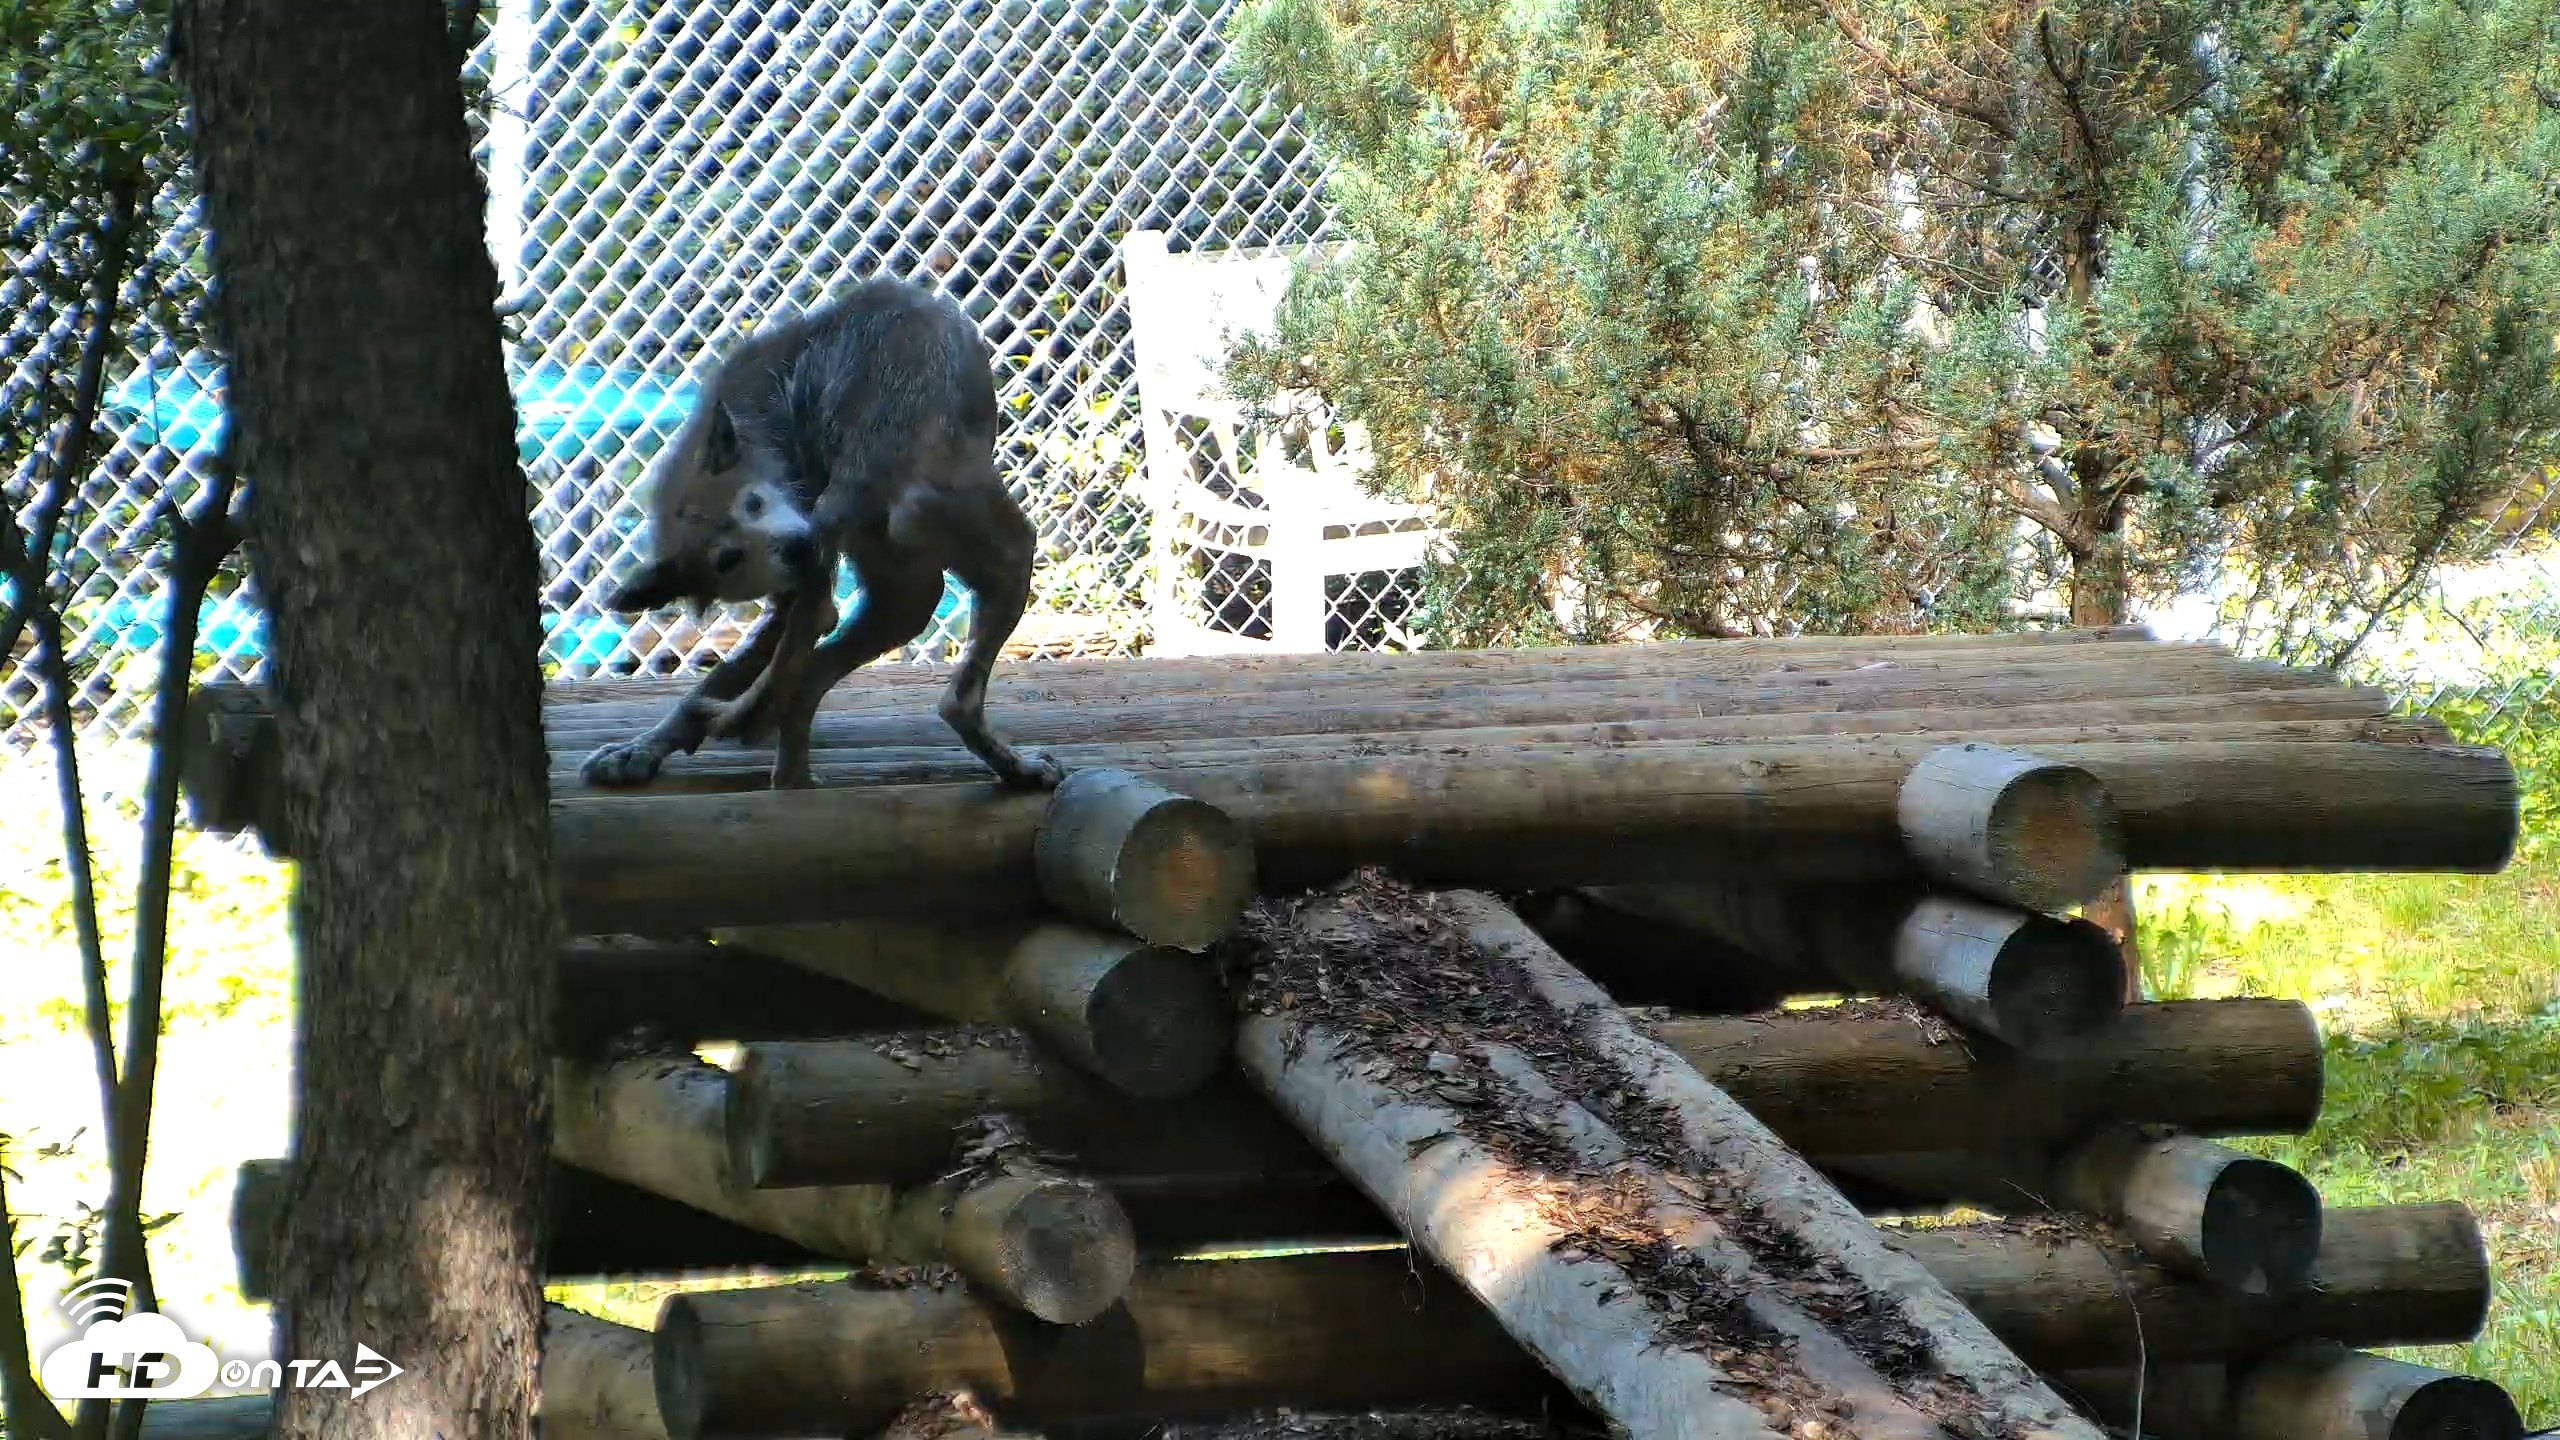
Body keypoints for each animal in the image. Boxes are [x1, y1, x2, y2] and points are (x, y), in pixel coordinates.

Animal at [578, 276, 1064, 793]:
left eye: (754, 503)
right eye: (727, 558)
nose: (799, 547)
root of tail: (870, 458)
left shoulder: (793, 598)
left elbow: (715, 683)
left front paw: (637, 750)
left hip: (898, 605)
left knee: (797, 689)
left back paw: (792, 778)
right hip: (996, 565)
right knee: (954, 703)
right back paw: (1020, 770)